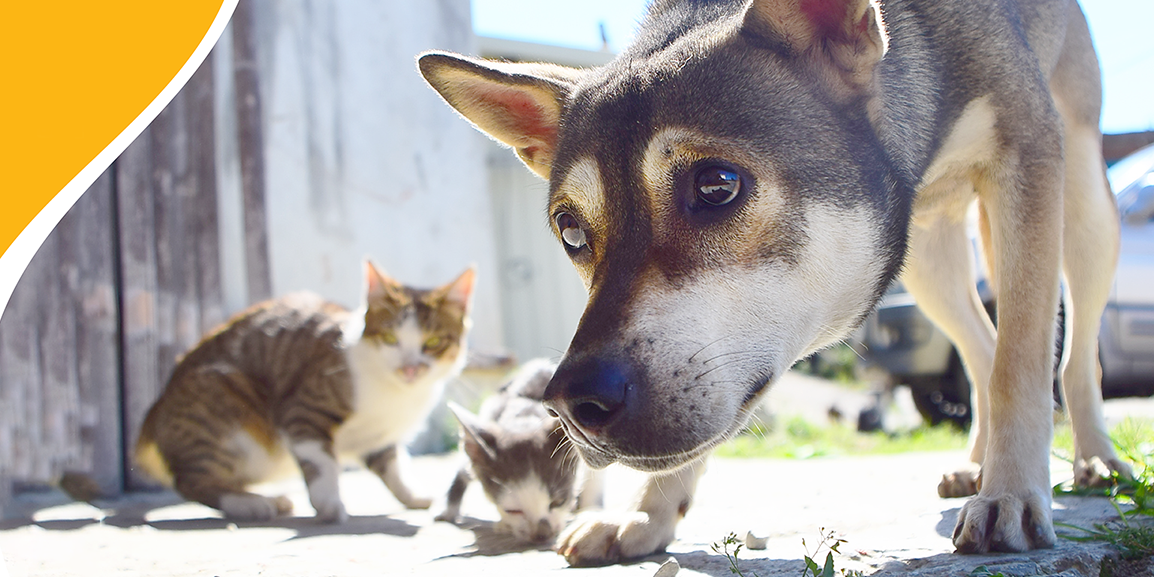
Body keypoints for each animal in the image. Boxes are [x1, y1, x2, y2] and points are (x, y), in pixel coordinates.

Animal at [133, 261, 473, 523]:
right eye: (390, 339)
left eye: (432, 343)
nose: (410, 368)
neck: (395, 395)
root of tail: (159, 402)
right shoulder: (303, 411)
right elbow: (321, 463)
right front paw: (329, 504)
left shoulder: (378, 437)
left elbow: (393, 467)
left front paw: (412, 495)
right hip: (223, 408)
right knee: (191, 481)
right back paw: (251, 503)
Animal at [415, 0, 1126, 565]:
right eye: (570, 231)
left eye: (717, 185)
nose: (570, 406)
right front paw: (645, 514)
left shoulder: (1026, 156)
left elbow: (1021, 360)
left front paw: (1011, 493)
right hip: (927, 259)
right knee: (978, 346)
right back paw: (975, 464)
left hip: (1081, 203)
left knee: (1065, 348)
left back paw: (1092, 459)